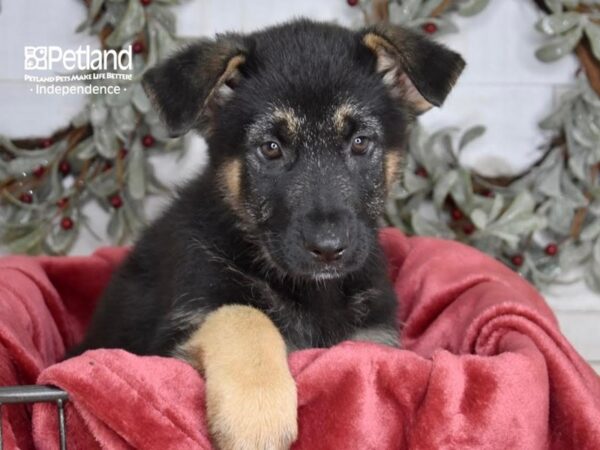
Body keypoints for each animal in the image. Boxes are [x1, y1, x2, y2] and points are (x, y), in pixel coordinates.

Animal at [69, 19, 464, 448]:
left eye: (360, 142)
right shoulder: (161, 349)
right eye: (271, 148)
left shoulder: (373, 338)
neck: (312, 292)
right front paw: (255, 415)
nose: (328, 249)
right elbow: (241, 314)